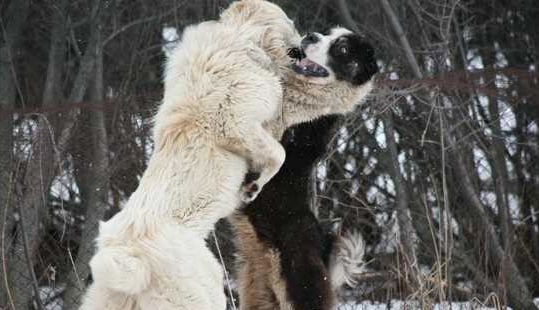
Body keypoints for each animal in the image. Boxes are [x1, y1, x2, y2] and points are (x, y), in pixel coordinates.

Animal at [233, 27, 380, 310]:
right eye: (330, 33)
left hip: (301, 287)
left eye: (342, 49)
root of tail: (323, 250)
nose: (311, 36)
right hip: (258, 295)